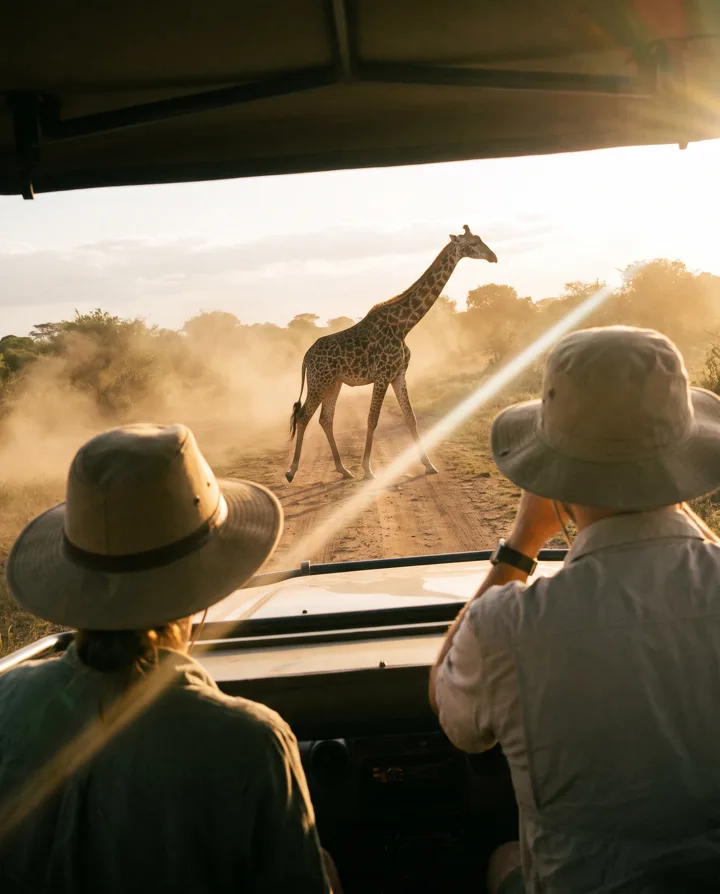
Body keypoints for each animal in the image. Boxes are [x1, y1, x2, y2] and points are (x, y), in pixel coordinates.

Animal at [285, 225, 498, 482]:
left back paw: (343, 469)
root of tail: (305, 357)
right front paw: (368, 470)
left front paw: (429, 465)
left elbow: (410, 418)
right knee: (303, 416)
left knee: (325, 419)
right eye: (473, 243)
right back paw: (292, 471)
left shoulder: (399, 374)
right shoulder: (383, 375)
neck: (404, 325)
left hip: (334, 382)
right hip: (319, 381)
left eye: (480, 239)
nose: (493, 257)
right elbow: (372, 419)